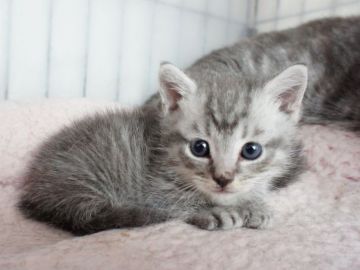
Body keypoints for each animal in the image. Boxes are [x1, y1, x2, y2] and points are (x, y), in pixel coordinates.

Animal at [19, 17, 360, 236]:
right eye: (200, 148)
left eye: (251, 150)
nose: (223, 179)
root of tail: (33, 184)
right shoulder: (154, 185)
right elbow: (178, 200)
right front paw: (215, 211)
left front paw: (254, 203)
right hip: (85, 181)